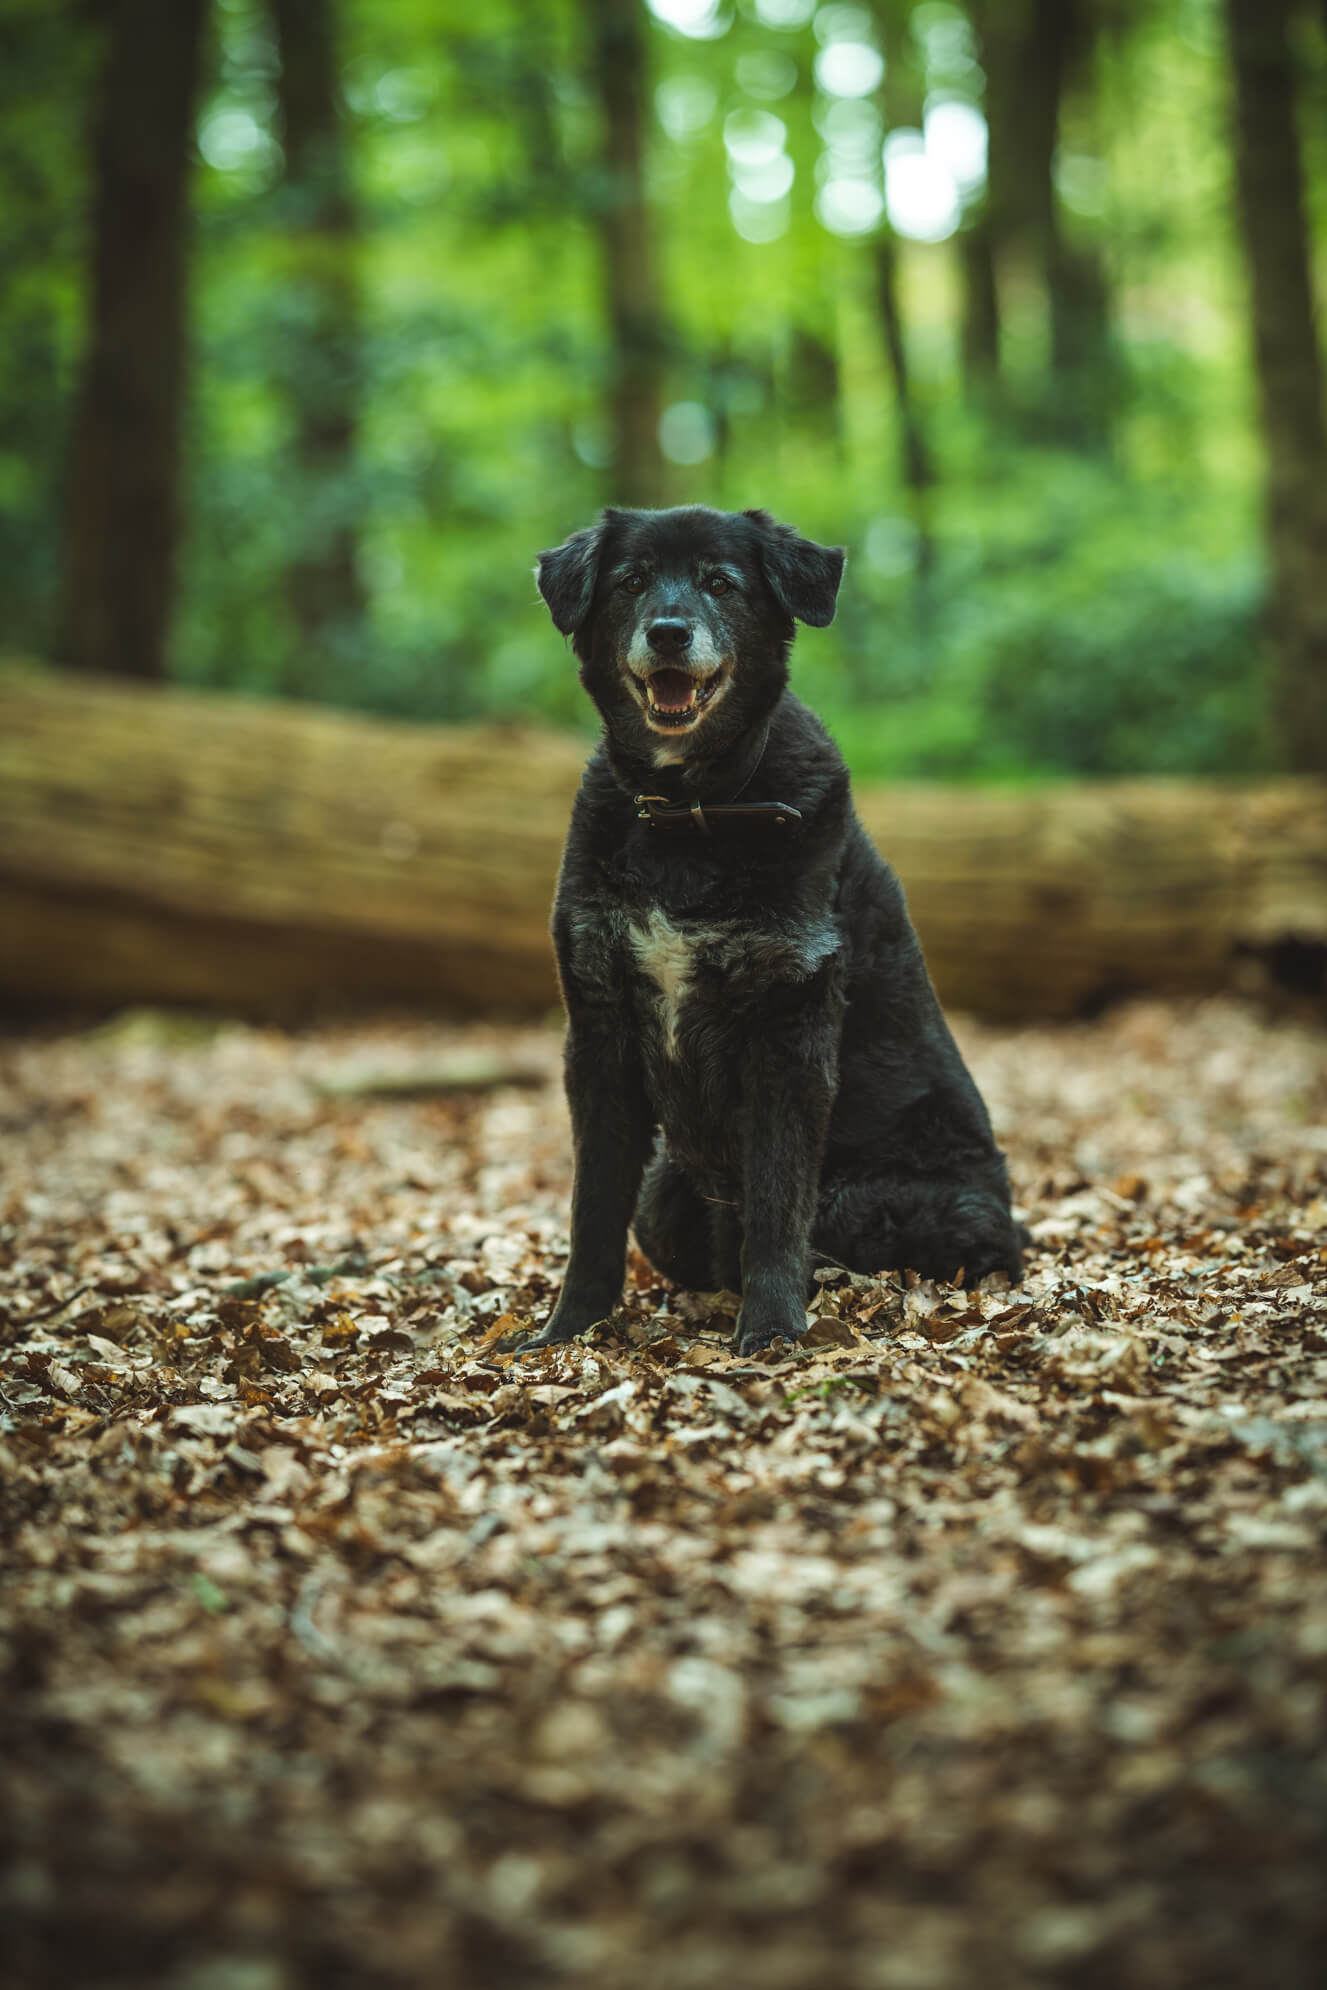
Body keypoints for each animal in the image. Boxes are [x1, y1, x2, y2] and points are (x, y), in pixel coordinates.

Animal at [525, 505, 1026, 1361]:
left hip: (884, 1200)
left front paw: (769, 1330)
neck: (688, 816)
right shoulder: (597, 1031)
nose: (667, 631)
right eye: (630, 581)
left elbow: (775, 1206)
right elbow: (591, 1209)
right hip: (665, 1193)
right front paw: (570, 1329)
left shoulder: (788, 1034)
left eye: (721, 583)